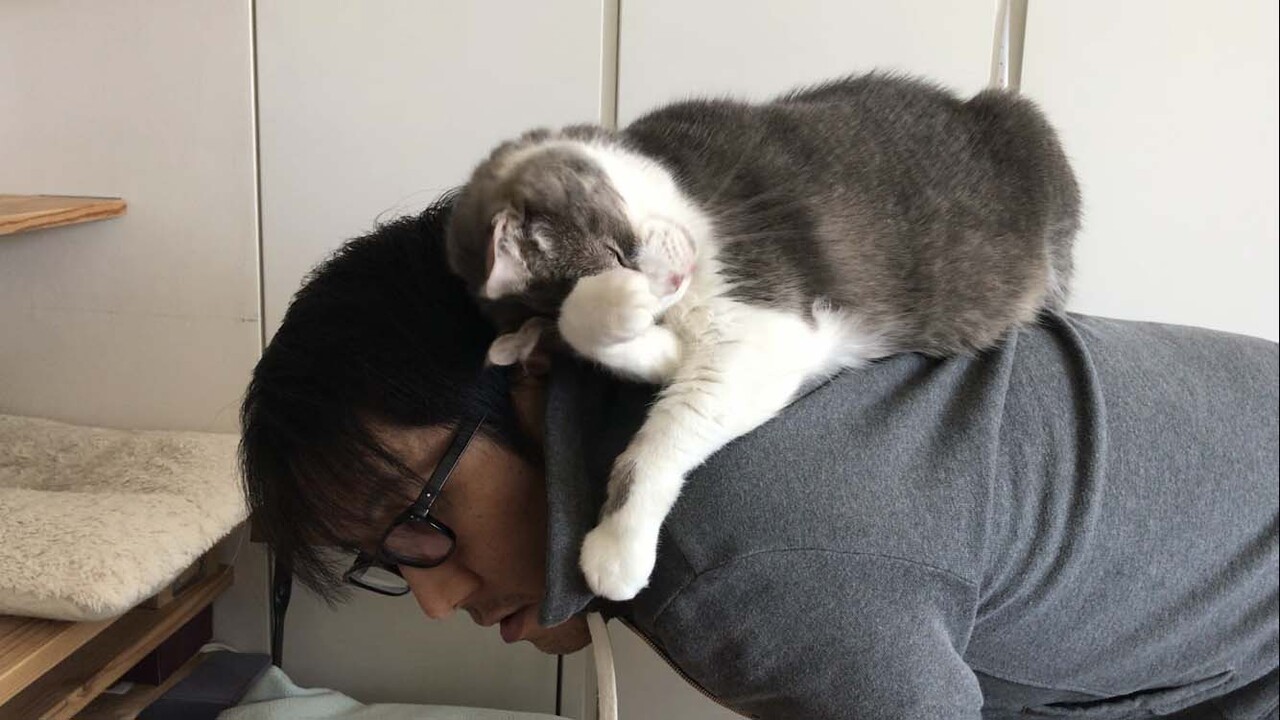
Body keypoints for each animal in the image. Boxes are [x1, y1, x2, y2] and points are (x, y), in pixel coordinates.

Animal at [445, 72, 1080, 601]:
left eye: (614, 252)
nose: (666, 283)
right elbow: (645, 354)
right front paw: (622, 323)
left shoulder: (769, 323)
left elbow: (668, 431)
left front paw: (616, 551)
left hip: (1029, 135)